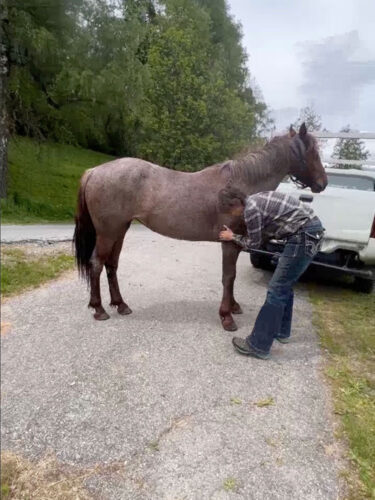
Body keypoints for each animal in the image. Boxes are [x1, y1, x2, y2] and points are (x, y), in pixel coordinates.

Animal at [73, 122, 326, 330]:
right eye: (313, 152)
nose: (323, 183)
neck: (242, 184)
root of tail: (94, 171)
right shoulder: (229, 243)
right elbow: (228, 276)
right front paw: (226, 317)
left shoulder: (237, 242)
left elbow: (232, 276)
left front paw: (234, 306)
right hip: (107, 232)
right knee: (97, 264)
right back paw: (99, 309)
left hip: (120, 230)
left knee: (111, 265)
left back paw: (121, 304)